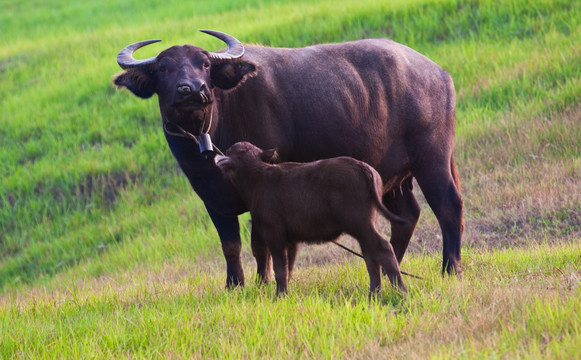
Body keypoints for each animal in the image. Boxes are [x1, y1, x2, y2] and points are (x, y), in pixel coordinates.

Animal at [214, 142, 408, 296]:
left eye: (233, 150)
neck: (257, 178)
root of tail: (362, 167)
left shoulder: (274, 234)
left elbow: (279, 267)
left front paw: (280, 296)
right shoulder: (291, 240)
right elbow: (288, 267)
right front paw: (285, 293)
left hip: (360, 223)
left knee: (383, 248)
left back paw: (401, 291)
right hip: (364, 227)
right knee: (370, 255)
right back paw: (374, 294)